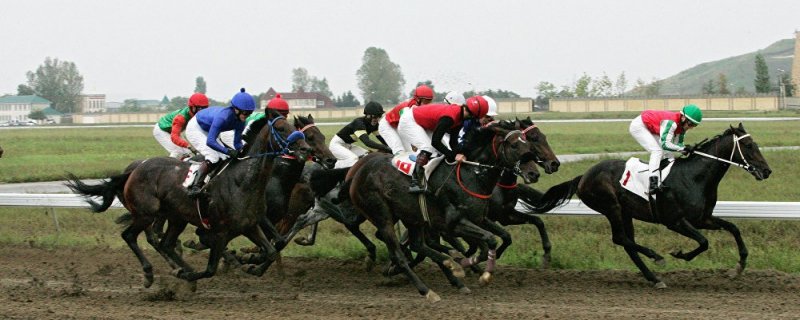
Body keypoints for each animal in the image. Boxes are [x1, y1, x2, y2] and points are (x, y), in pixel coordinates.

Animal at [68, 116, 312, 286]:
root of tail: (133, 170)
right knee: (131, 236)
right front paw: (191, 274)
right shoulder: (220, 231)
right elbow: (210, 268)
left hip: (177, 218)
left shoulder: (250, 224)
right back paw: (150, 273)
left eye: (295, 128)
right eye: (281, 129)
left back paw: (178, 268)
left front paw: (252, 267)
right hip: (147, 214)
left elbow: (272, 249)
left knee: (165, 243)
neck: (242, 181)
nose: (305, 149)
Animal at [528, 124, 772, 288]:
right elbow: (704, 242)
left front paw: (739, 267)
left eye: (755, 143)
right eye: (749, 145)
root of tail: (583, 177)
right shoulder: (675, 221)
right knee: (621, 238)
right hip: (612, 208)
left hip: (626, 212)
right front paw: (680, 254)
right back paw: (656, 257)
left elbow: (733, 228)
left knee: (627, 243)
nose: (767, 171)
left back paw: (654, 278)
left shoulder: (703, 219)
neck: (695, 177)